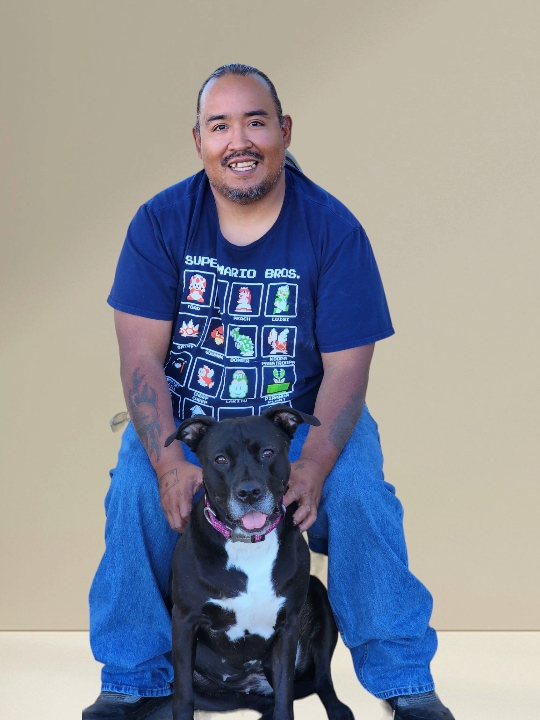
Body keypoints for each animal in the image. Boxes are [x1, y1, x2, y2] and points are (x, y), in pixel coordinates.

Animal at [165, 404, 354, 720]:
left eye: (267, 452)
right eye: (220, 459)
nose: (249, 492)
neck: (248, 545)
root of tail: (251, 685)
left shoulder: (287, 628)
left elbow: (285, 698)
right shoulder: (184, 622)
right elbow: (182, 698)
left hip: (319, 598)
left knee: (321, 679)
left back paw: (338, 709)